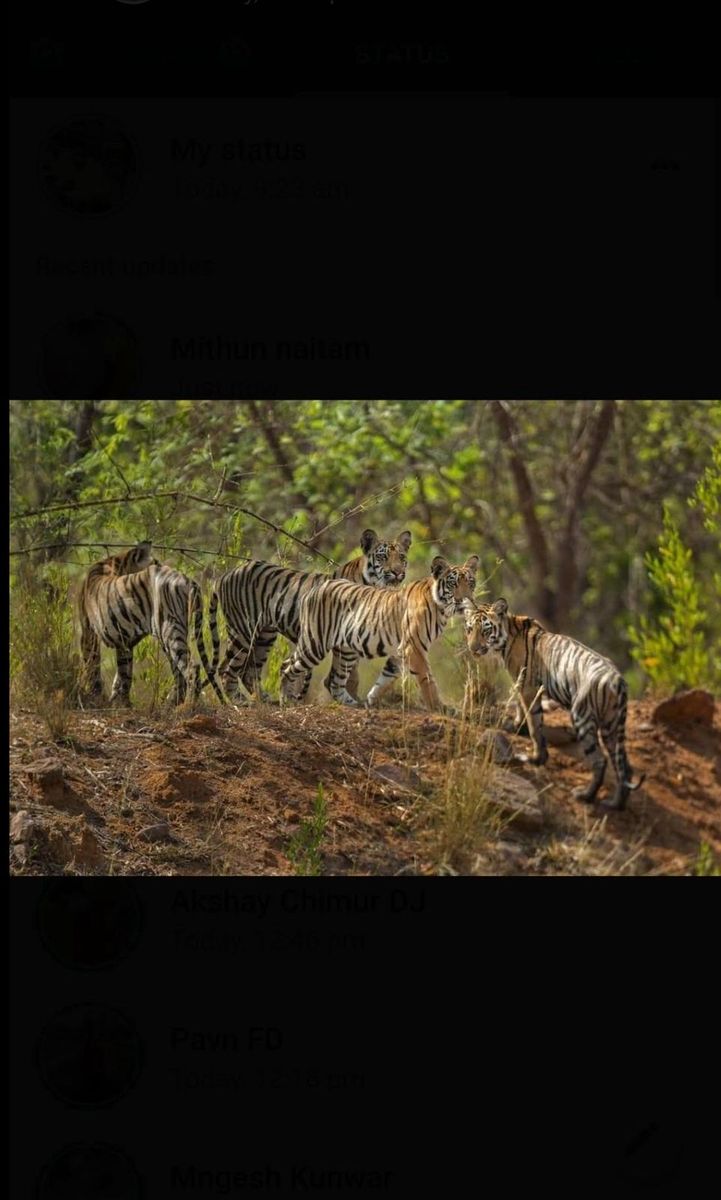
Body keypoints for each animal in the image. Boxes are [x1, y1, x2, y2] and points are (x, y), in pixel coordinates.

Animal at [78, 542, 224, 706]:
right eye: (155, 562)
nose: (160, 564)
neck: (115, 564)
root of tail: (188, 580)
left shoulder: (88, 631)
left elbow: (92, 666)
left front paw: (96, 697)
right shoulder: (124, 642)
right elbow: (124, 674)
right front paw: (121, 702)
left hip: (169, 631)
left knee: (191, 668)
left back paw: (186, 706)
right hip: (170, 635)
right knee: (179, 673)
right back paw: (171, 704)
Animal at [208, 529, 412, 702]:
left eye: (402, 557)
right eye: (383, 557)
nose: (398, 572)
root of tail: (226, 575)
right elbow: (348, 675)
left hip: (265, 635)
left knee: (249, 671)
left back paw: (265, 700)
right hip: (243, 630)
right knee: (227, 669)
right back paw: (239, 702)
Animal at [280, 554, 480, 711]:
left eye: (470, 583)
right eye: (454, 583)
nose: (466, 599)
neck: (442, 609)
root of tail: (316, 588)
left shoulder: (399, 652)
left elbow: (384, 680)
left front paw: (370, 701)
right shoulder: (414, 647)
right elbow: (427, 680)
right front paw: (439, 707)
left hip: (346, 651)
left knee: (333, 681)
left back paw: (354, 704)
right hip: (315, 644)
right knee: (288, 667)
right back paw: (285, 701)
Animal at [464, 598, 645, 810]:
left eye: (485, 630)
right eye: (469, 629)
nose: (473, 649)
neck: (506, 636)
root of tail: (619, 680)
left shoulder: (526, 686)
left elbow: (534, 724)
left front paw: (535, 757)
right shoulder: (525, 685)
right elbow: (525, 712)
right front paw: (518, 728)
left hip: (582, 717)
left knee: (601, 761)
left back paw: (585, 795)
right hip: (612, 726)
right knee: (624, 766)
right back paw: (615, 803)